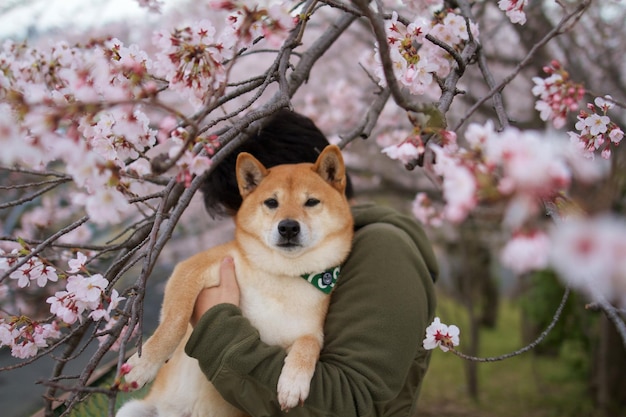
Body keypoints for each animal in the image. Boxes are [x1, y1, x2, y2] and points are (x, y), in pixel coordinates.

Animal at [116, 144, 352, 416]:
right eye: (272, 202)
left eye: (311, 202)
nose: (288, 227)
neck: (281, 274)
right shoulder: (193, 267)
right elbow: (175, 321)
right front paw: (144, 363)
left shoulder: (308, 331)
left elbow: (309, 343)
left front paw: (293, 383)